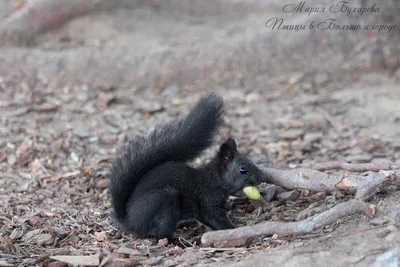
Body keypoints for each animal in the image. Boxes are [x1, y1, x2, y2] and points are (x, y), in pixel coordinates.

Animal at [108, 93, 266, 241]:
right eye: (243, 170)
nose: (260, 178)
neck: (215, 179)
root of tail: (130, 222)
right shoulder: (208, 200)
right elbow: (213, 217)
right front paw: (232, 228)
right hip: (166, 201)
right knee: (161, 234)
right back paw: (178, 239)